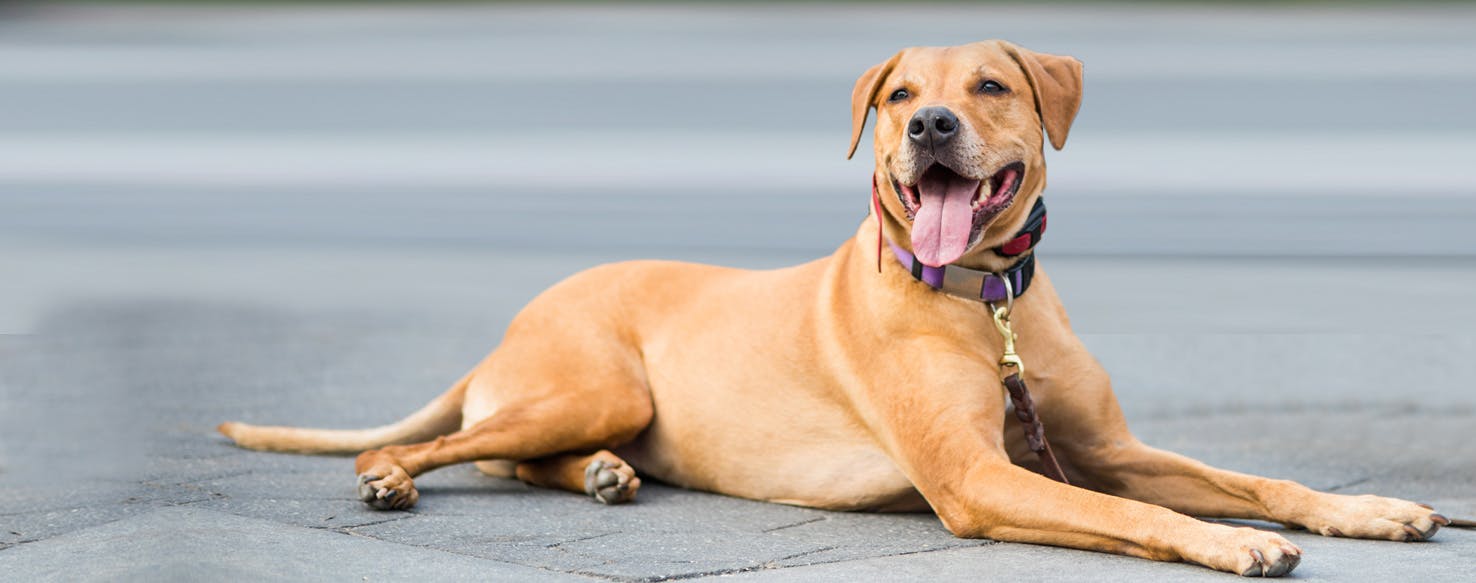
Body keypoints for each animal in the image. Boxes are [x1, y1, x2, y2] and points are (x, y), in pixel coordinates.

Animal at [214, 42, 1446, 578]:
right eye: (900, 95)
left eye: (989, 86)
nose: (931, 126)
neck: (982, 298)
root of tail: (514, 322)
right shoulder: (979, 480)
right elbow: (1137, 513)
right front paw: (1233, 543)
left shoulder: (1108, 446)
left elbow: (1256, 476)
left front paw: (1371, 509)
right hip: (592, 380)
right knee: (450, 447)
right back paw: (390, 478)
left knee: (519, 457)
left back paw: (606, 476)